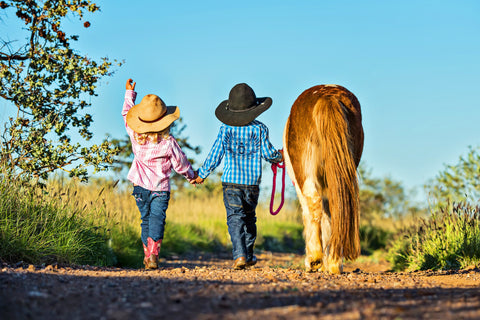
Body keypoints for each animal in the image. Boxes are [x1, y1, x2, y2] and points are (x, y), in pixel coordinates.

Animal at [282, 84, 364, 272]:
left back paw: (315, 258)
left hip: (305, 174)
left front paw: (315, 261)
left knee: (313, 204)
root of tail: (327, 97)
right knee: (335, 207)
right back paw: (334, 263)